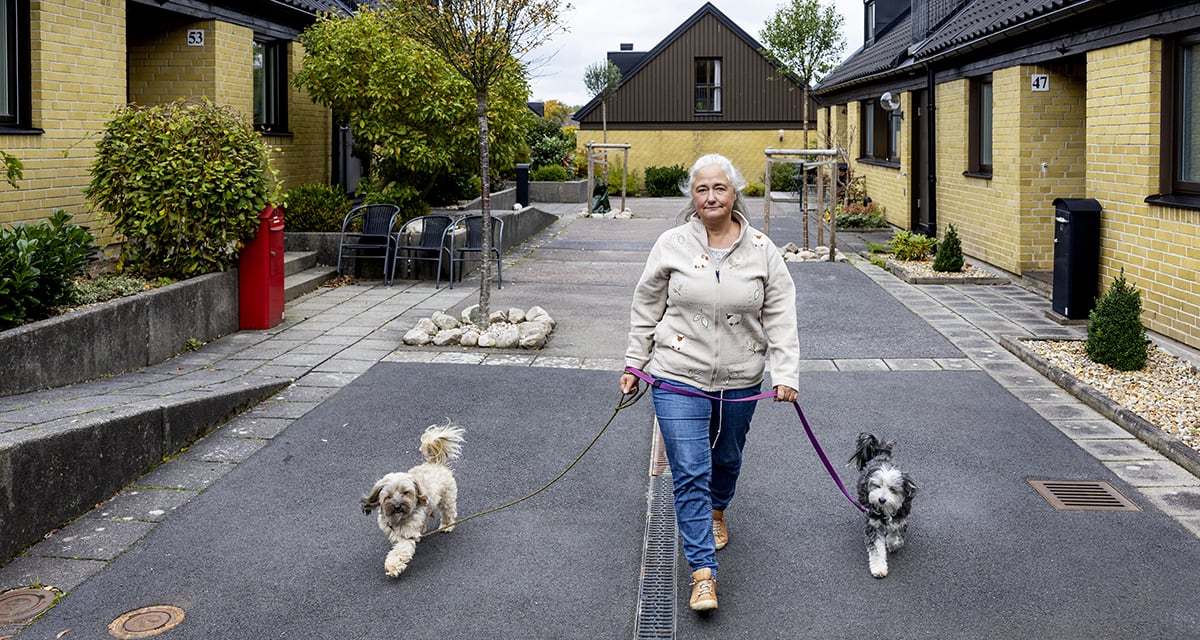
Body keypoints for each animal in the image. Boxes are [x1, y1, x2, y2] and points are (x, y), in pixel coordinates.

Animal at [360, 422, 463, 576]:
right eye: (388, 496)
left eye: (406, 492)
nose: (397, 506)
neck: (398, 520)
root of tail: (434, 462)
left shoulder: (407, 535)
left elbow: (400, 551)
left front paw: (392, 567)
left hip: (447, 496)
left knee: (448, 511)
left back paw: (446, 525)